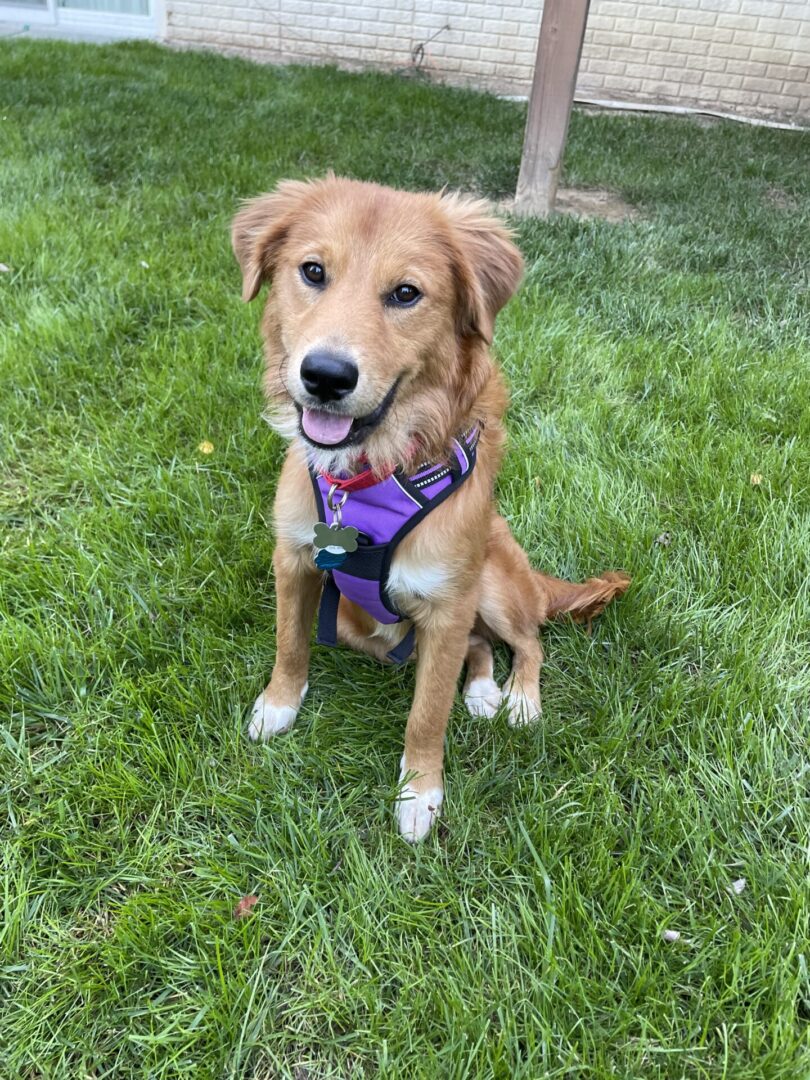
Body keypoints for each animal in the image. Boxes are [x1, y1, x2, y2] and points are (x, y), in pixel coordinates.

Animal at [231, 174, 630, 842]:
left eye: (406, 293)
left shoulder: (447, 605)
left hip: (491, 585)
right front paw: (279, 705)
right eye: (312, 271)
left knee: (525, 641)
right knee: (479, 647)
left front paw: (420, 793)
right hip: (358, 623)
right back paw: (484, 691)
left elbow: (428, 712)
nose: (326, 376)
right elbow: (290, 644)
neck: (370, 473)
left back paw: (517, 698)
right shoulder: (296, 561)